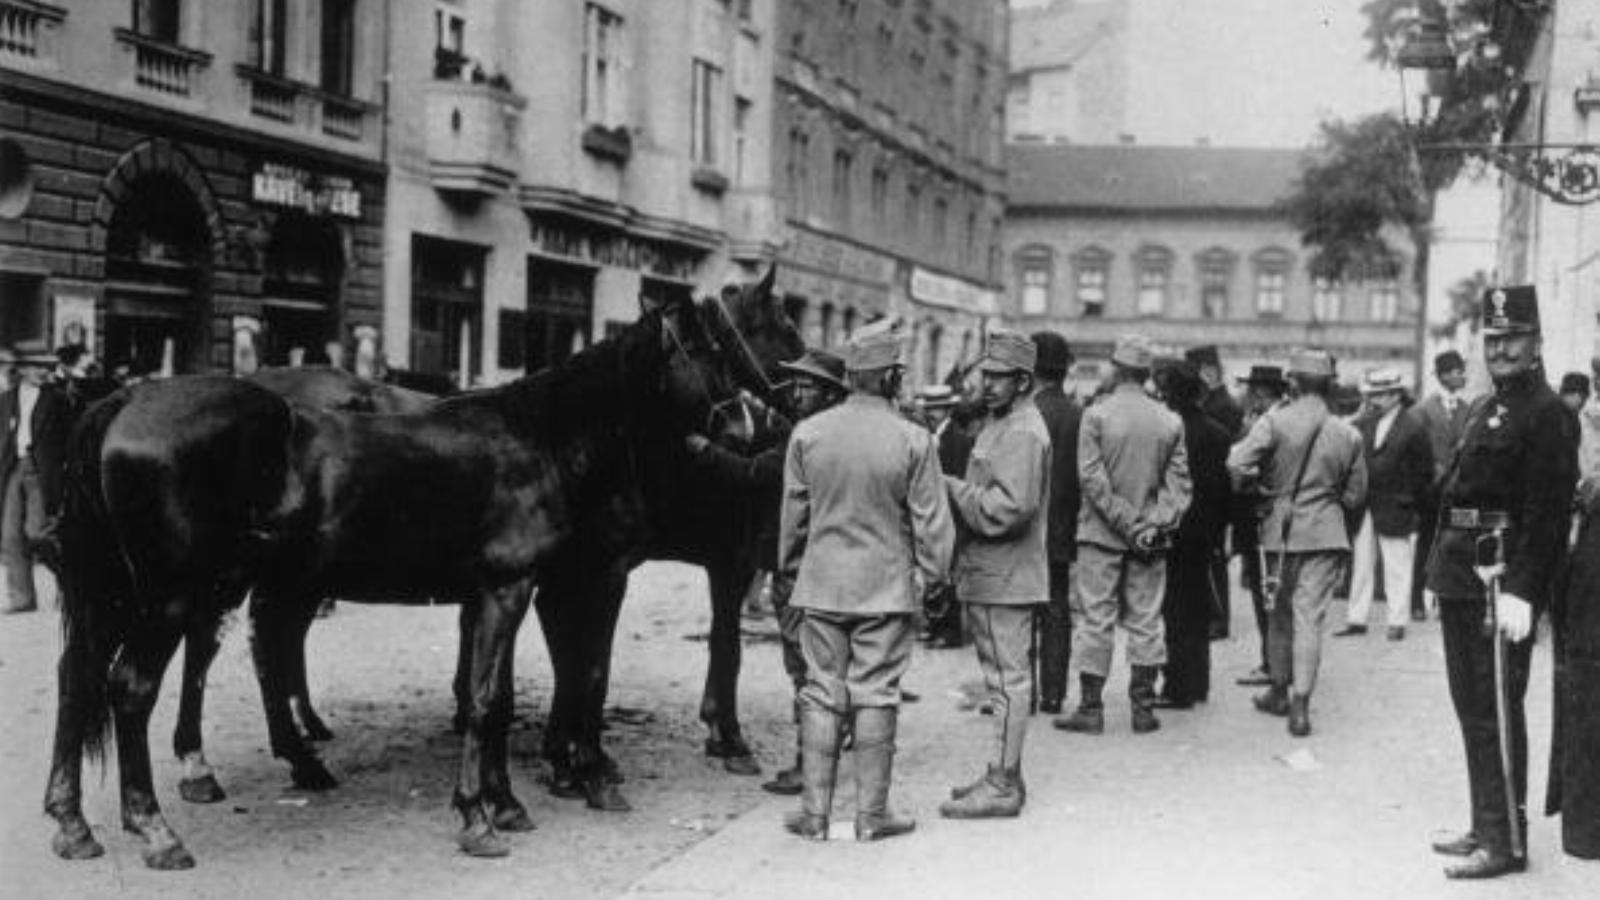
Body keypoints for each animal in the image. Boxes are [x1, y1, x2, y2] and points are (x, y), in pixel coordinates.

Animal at [43, 293, 780, 864]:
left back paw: (75, 822)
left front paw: (507, 802)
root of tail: (120, 403)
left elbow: (501, 698)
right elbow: (494, 698)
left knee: (82, 678)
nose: (752, 426)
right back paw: (156, 827)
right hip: (173, 594)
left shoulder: (505, 592)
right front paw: (481, 816)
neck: (540, 440)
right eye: (713, 348)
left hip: (125, 591)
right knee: (133, 687)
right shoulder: (514, 587)